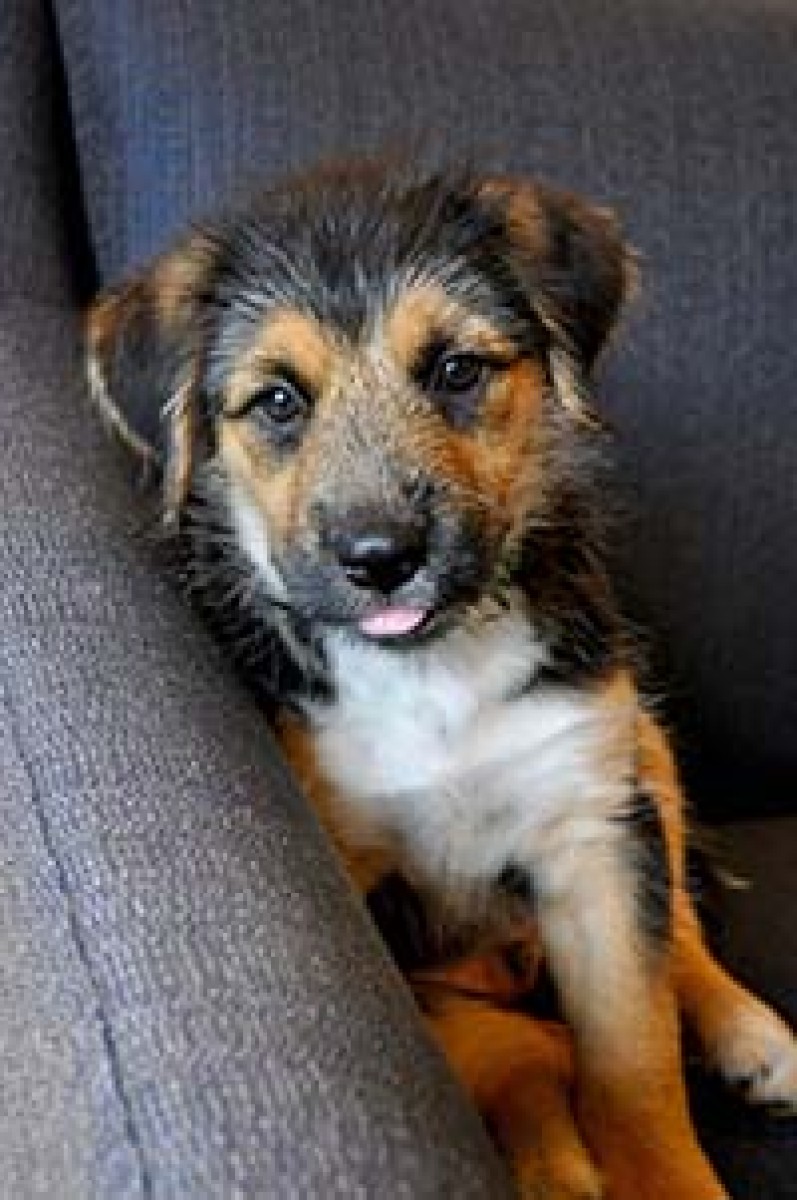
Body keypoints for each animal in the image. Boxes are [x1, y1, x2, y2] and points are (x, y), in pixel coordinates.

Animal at [87, 158, 797, 1198]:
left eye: (456, 371)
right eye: (277, 403)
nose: (381, 557)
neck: (428, 672)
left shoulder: (591, 817)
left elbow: (635, 1053)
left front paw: (665, 1174)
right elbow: (523, 1062)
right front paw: (561, 1152)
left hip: (642, 744)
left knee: (677, 929)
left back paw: (746, 1031)